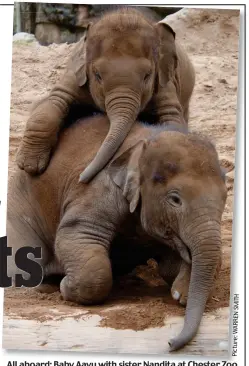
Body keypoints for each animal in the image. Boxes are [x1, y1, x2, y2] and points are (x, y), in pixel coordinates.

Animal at [7, 113, 227, 352]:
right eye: (175, 199)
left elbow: (169, 266)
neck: (145, 144)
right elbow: (77, 234)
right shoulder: (97, 187)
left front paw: (180, 291)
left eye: (225, 198)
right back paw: (43, 287)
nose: (170, 343)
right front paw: (65, 287)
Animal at [16, 6, 196, 182]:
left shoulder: (165, 82)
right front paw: (30, 167)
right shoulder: (76, 74)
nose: (81, 178)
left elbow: (173, 120)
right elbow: (52, 104)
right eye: (97, 75)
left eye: (147, 75)